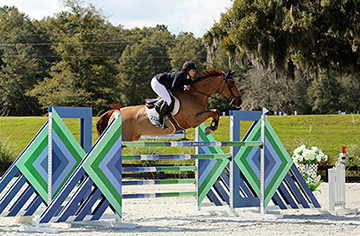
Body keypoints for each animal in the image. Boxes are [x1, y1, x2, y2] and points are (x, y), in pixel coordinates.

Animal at [95, 69, 242, 141]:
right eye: (231, 84)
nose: (239, 101)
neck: (194, 95)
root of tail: (115, 113)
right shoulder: (193, 120)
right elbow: (215, 111)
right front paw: (210, 128)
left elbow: (216, 111)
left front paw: (211, 127)